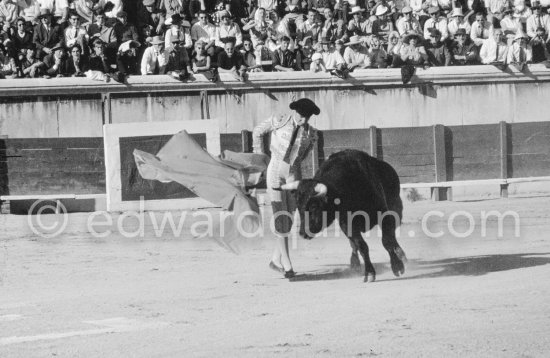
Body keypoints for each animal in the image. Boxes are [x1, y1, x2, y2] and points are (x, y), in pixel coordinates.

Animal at [282, 149, 408, 282]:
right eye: (298, 206)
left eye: (314, 206)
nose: (302, 233)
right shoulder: (347, 223)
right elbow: (361, 245)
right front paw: (369, 272)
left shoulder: (384, 214)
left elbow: (387, 241)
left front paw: (397, 266)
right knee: (353, 244)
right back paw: (355, 263)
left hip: (397, 210)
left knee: (393, 236)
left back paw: (401, 254)